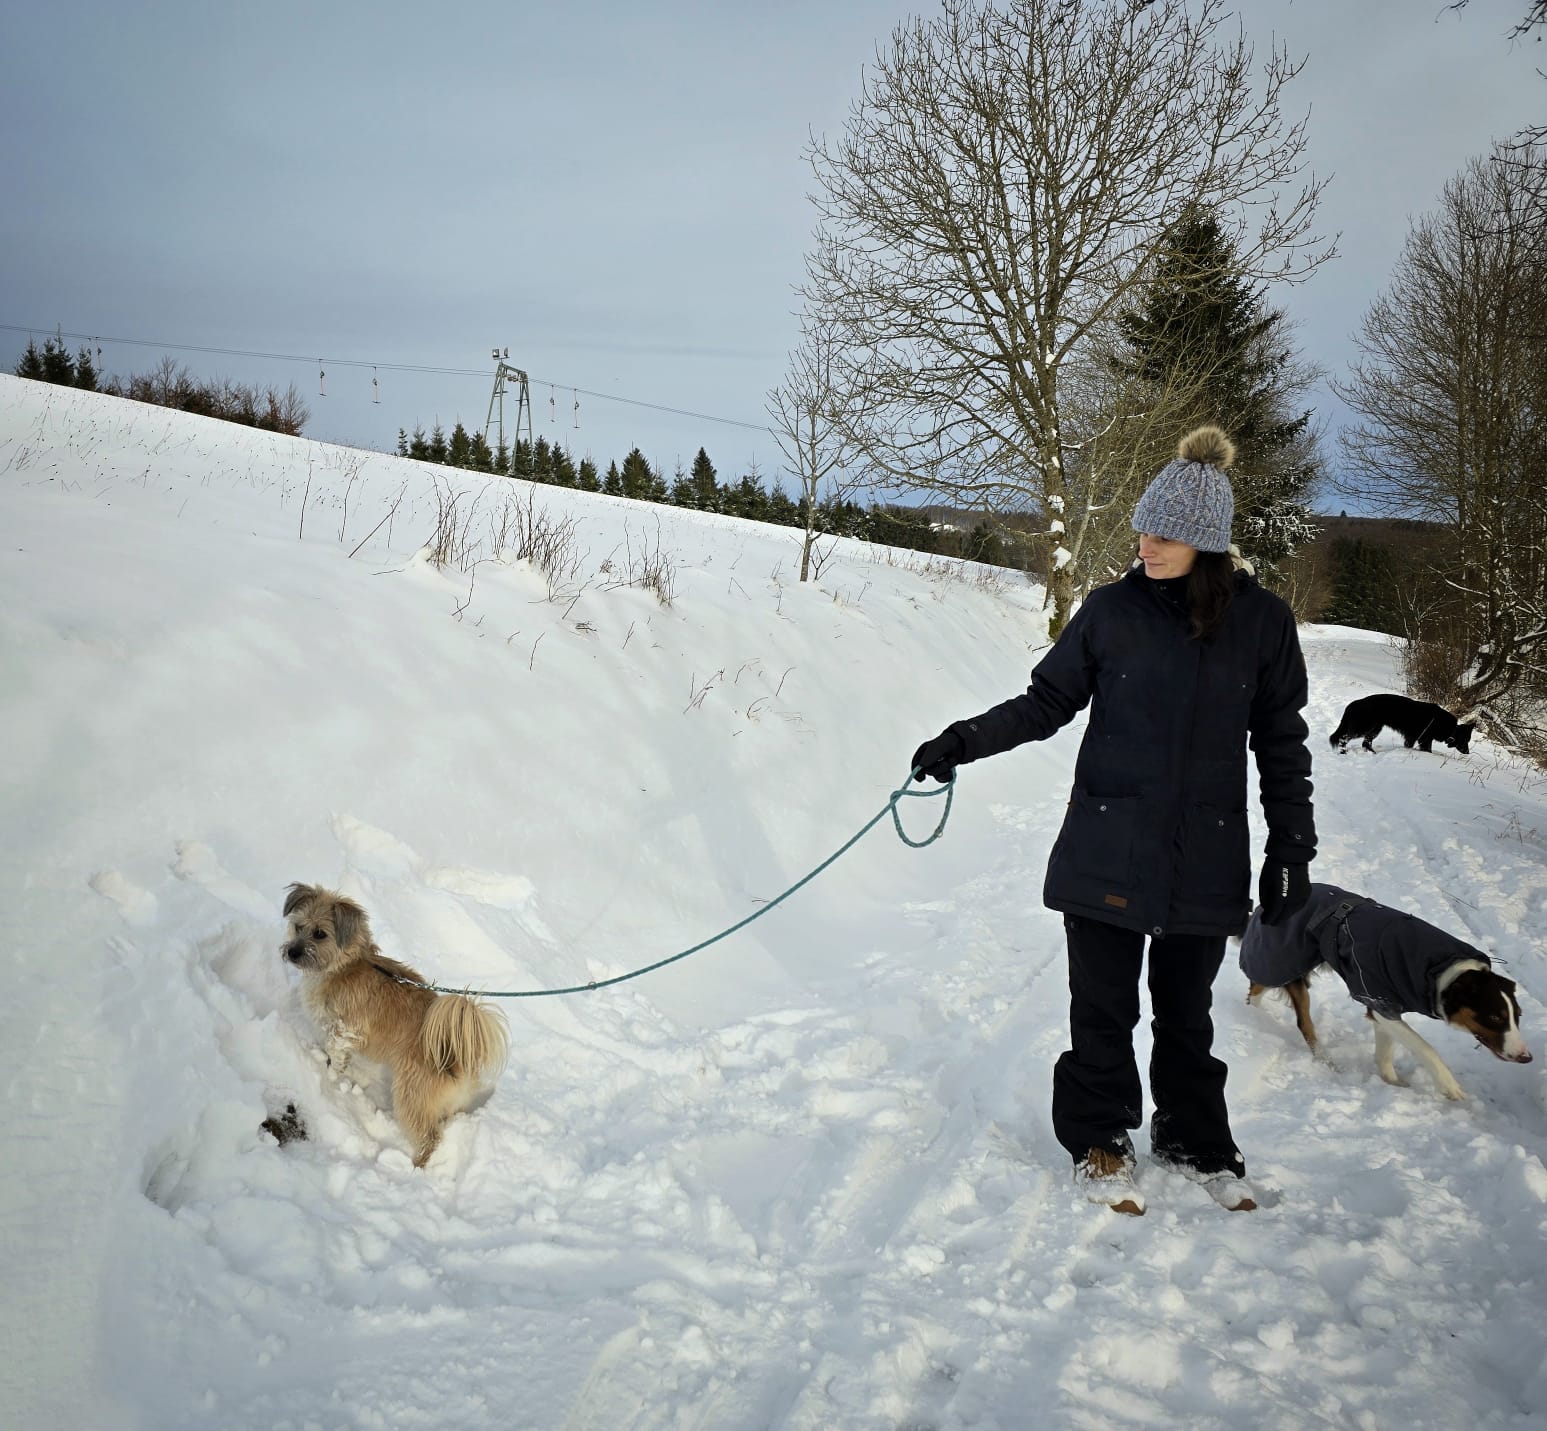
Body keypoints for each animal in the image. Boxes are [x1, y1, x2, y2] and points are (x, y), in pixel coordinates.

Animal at [281, 878, 510, 1169]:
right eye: (298, 926)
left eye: (320, 933)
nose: (292, 952)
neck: (346, 966)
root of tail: (456, 1057)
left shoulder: (347, 1030)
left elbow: (335, 1052)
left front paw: (329, 1074)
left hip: (412, 1094)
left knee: (430, 1136)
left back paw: (416, 1166)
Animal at [1237, 884, 1528, 1107]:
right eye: (1494, 1017)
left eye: (1518, 1016)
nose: (1526, 1058)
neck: (1444, 971)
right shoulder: (1381, 1002)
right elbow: (1426, 1048)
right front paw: (1450, 1087)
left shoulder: (1382, 1008)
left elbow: (1385, 1053)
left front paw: (1392, 1082)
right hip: (1284, 960)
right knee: (1294, 1015)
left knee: (1258, 989)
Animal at [1330, 696, 1472, 758]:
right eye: (1465, 740)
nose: (1468, 752)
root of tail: (1353, 704)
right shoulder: (1424, 739)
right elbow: (1428, 751)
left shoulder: (1412, 738)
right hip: (1363, 727)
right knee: (1343, 738)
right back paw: (1343, 752)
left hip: (1375, 728)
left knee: (1365, 743)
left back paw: (1372, 753)